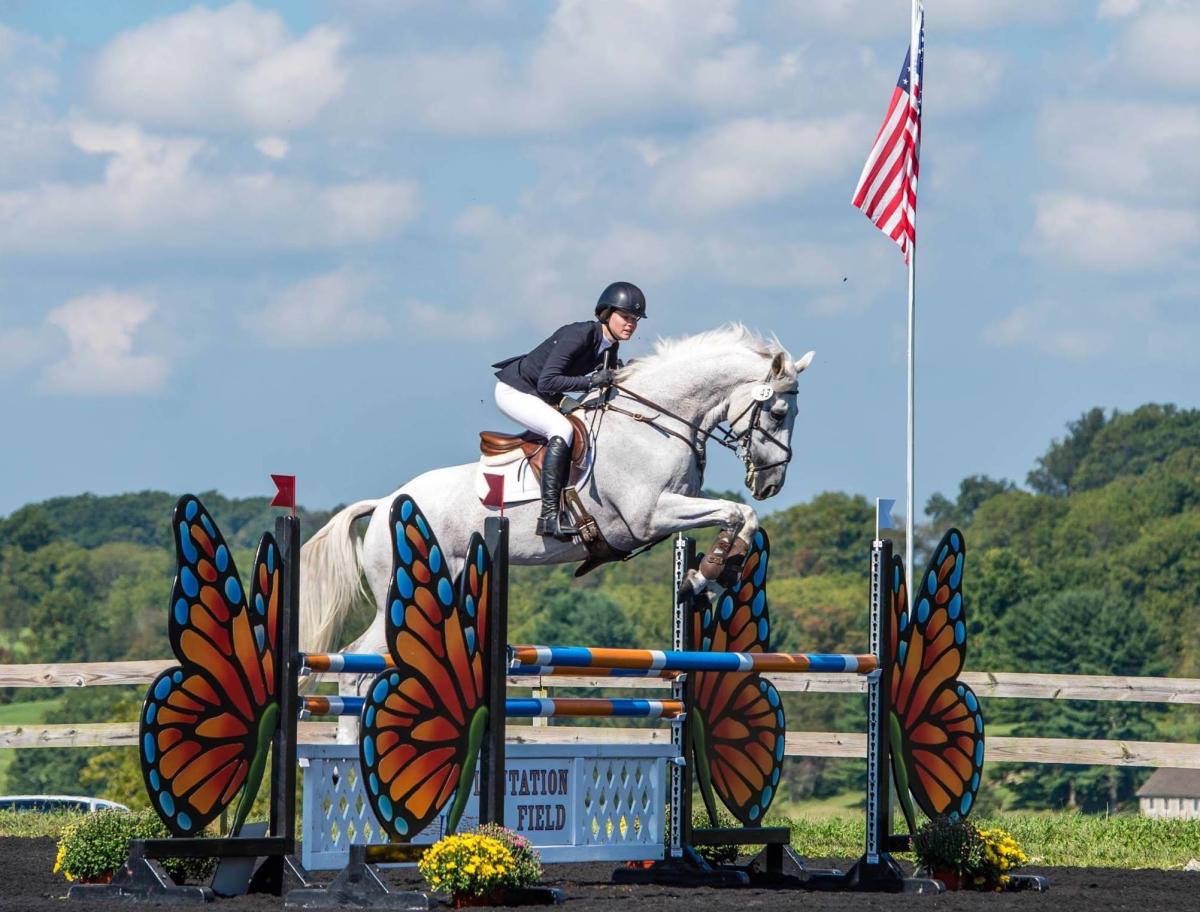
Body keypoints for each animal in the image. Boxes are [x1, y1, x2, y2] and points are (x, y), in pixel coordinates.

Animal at [297, 324, 816, 667]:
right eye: (778, 412)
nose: (771, 483)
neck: (658, 422)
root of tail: (385, 503)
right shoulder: (649, 516)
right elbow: (735, 510)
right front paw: (703, 575)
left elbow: (741, 516)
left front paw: (712, 575)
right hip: (397, 589)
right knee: (356, 662)